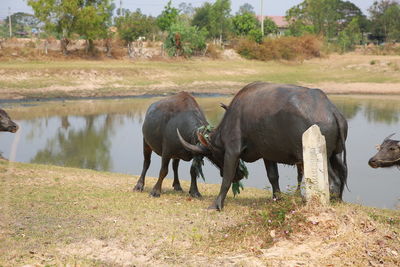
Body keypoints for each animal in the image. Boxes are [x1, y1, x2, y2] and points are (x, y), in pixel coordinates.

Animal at [178, 81, 346, 211]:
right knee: (342, 175)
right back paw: (339, 200)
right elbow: (273, 177)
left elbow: (226, 178)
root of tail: (331, 110)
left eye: (213, 156)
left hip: (319, 157)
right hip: (335, 155)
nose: (240, 175)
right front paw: (276, 198)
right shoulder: (267, 155)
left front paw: (217, 204)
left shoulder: (232, 151)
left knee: (334, 181)